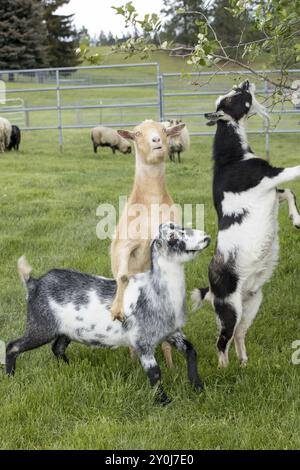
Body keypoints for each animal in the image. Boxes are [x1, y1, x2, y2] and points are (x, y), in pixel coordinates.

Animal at [5, 224, 211, 404]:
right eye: (173, 237)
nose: (206, 237)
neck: (154, 290)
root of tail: (34, 283)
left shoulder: (173, 333)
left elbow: (191, 351)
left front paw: (198, 387)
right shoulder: (143, 342)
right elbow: (154, 373)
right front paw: (164, 401)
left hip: (66, 330)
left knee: (57, 348)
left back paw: (70, 367)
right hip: (41, 326)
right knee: (12, 346)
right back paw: (10, 376)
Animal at [110, 119, 185, 370]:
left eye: (164, 130)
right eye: (137, 133)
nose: (157, 141)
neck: (150, 202)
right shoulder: (125, 245)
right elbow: (123, 276)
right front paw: (116, 310)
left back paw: (170, 364)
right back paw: (134, 361)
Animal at [191, 80, 300, 368]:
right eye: (234, 98)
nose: (245, 82)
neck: (233, 158)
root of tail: (211, 289)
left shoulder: (270, 190)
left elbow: (288, 193)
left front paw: (296, 219)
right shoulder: (268, 176)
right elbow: (294, 173)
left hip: (252, 303)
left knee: (239, 335)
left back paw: (243, 362)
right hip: (230, 308)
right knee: (221, 341)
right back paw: (224, 369)